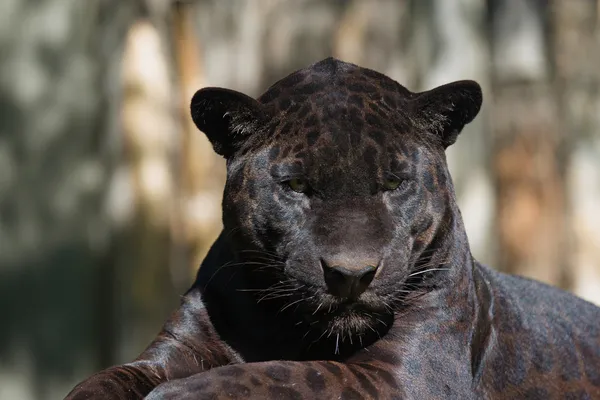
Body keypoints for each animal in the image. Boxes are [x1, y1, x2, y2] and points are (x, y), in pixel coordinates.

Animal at [65, 57, 600, 400]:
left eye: (392, 181)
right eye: (297, 185)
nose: (351, 274)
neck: (290, 327)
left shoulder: (408, 375)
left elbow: (284, 376)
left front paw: (175, 395)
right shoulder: (177, 348)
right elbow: (104, 379)